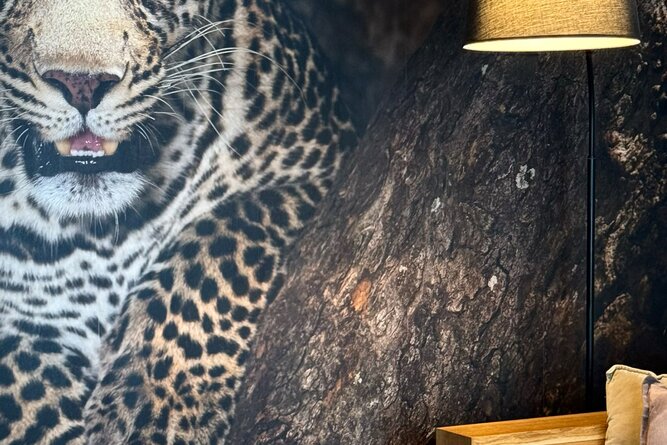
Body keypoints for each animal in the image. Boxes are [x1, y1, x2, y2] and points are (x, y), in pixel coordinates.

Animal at [0, 0, 356, 443]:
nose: (82, 84)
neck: (104, 230)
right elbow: (29, 392)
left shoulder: (323, 161)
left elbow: (214, 253)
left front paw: (155, 406)